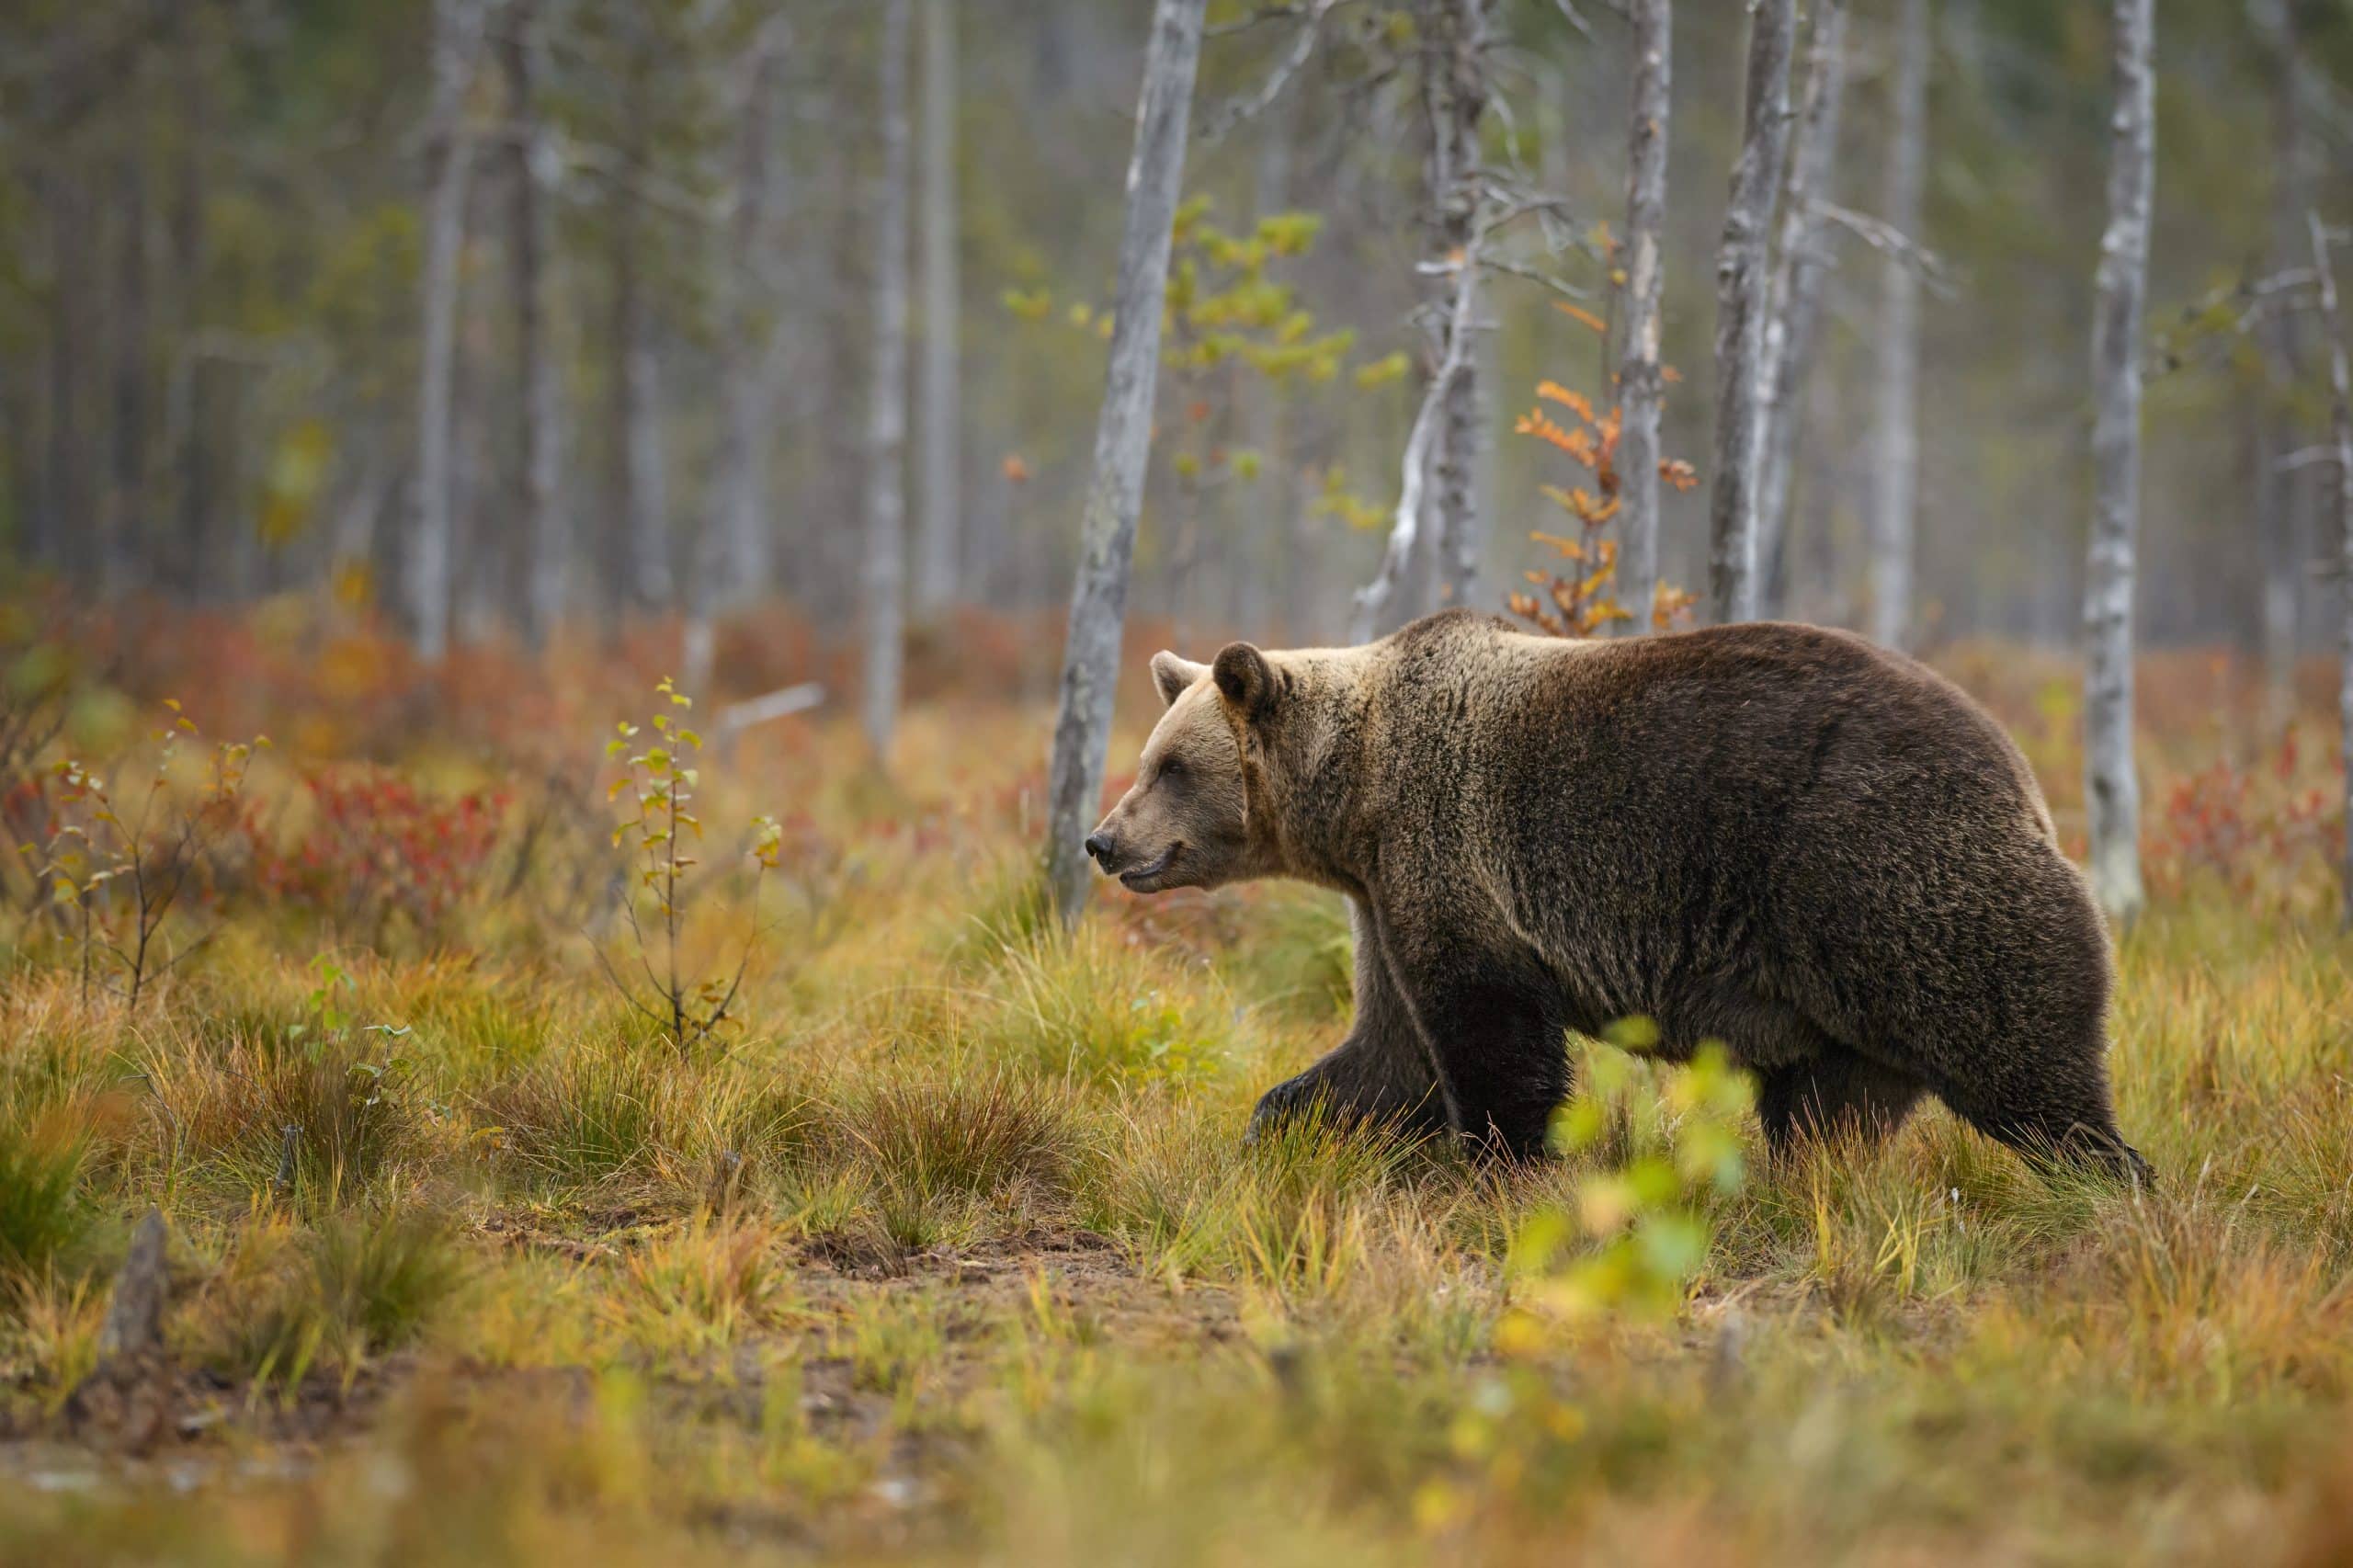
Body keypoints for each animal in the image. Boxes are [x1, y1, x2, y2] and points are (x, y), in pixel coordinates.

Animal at [1082, 602, 2154, 1176]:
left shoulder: (1451, 857)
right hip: (1845, 991)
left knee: (2026, 1065)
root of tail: (2022, 774)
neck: (1355, 797)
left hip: (1891, 879)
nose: (1101, 838)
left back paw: (2111, 1181)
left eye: (1170, 765)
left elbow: (1491, 1043)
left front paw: (1502, 1159)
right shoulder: (1386, 896)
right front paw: (1281, 1126)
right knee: (1826, 1113)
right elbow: (1387, 1052)